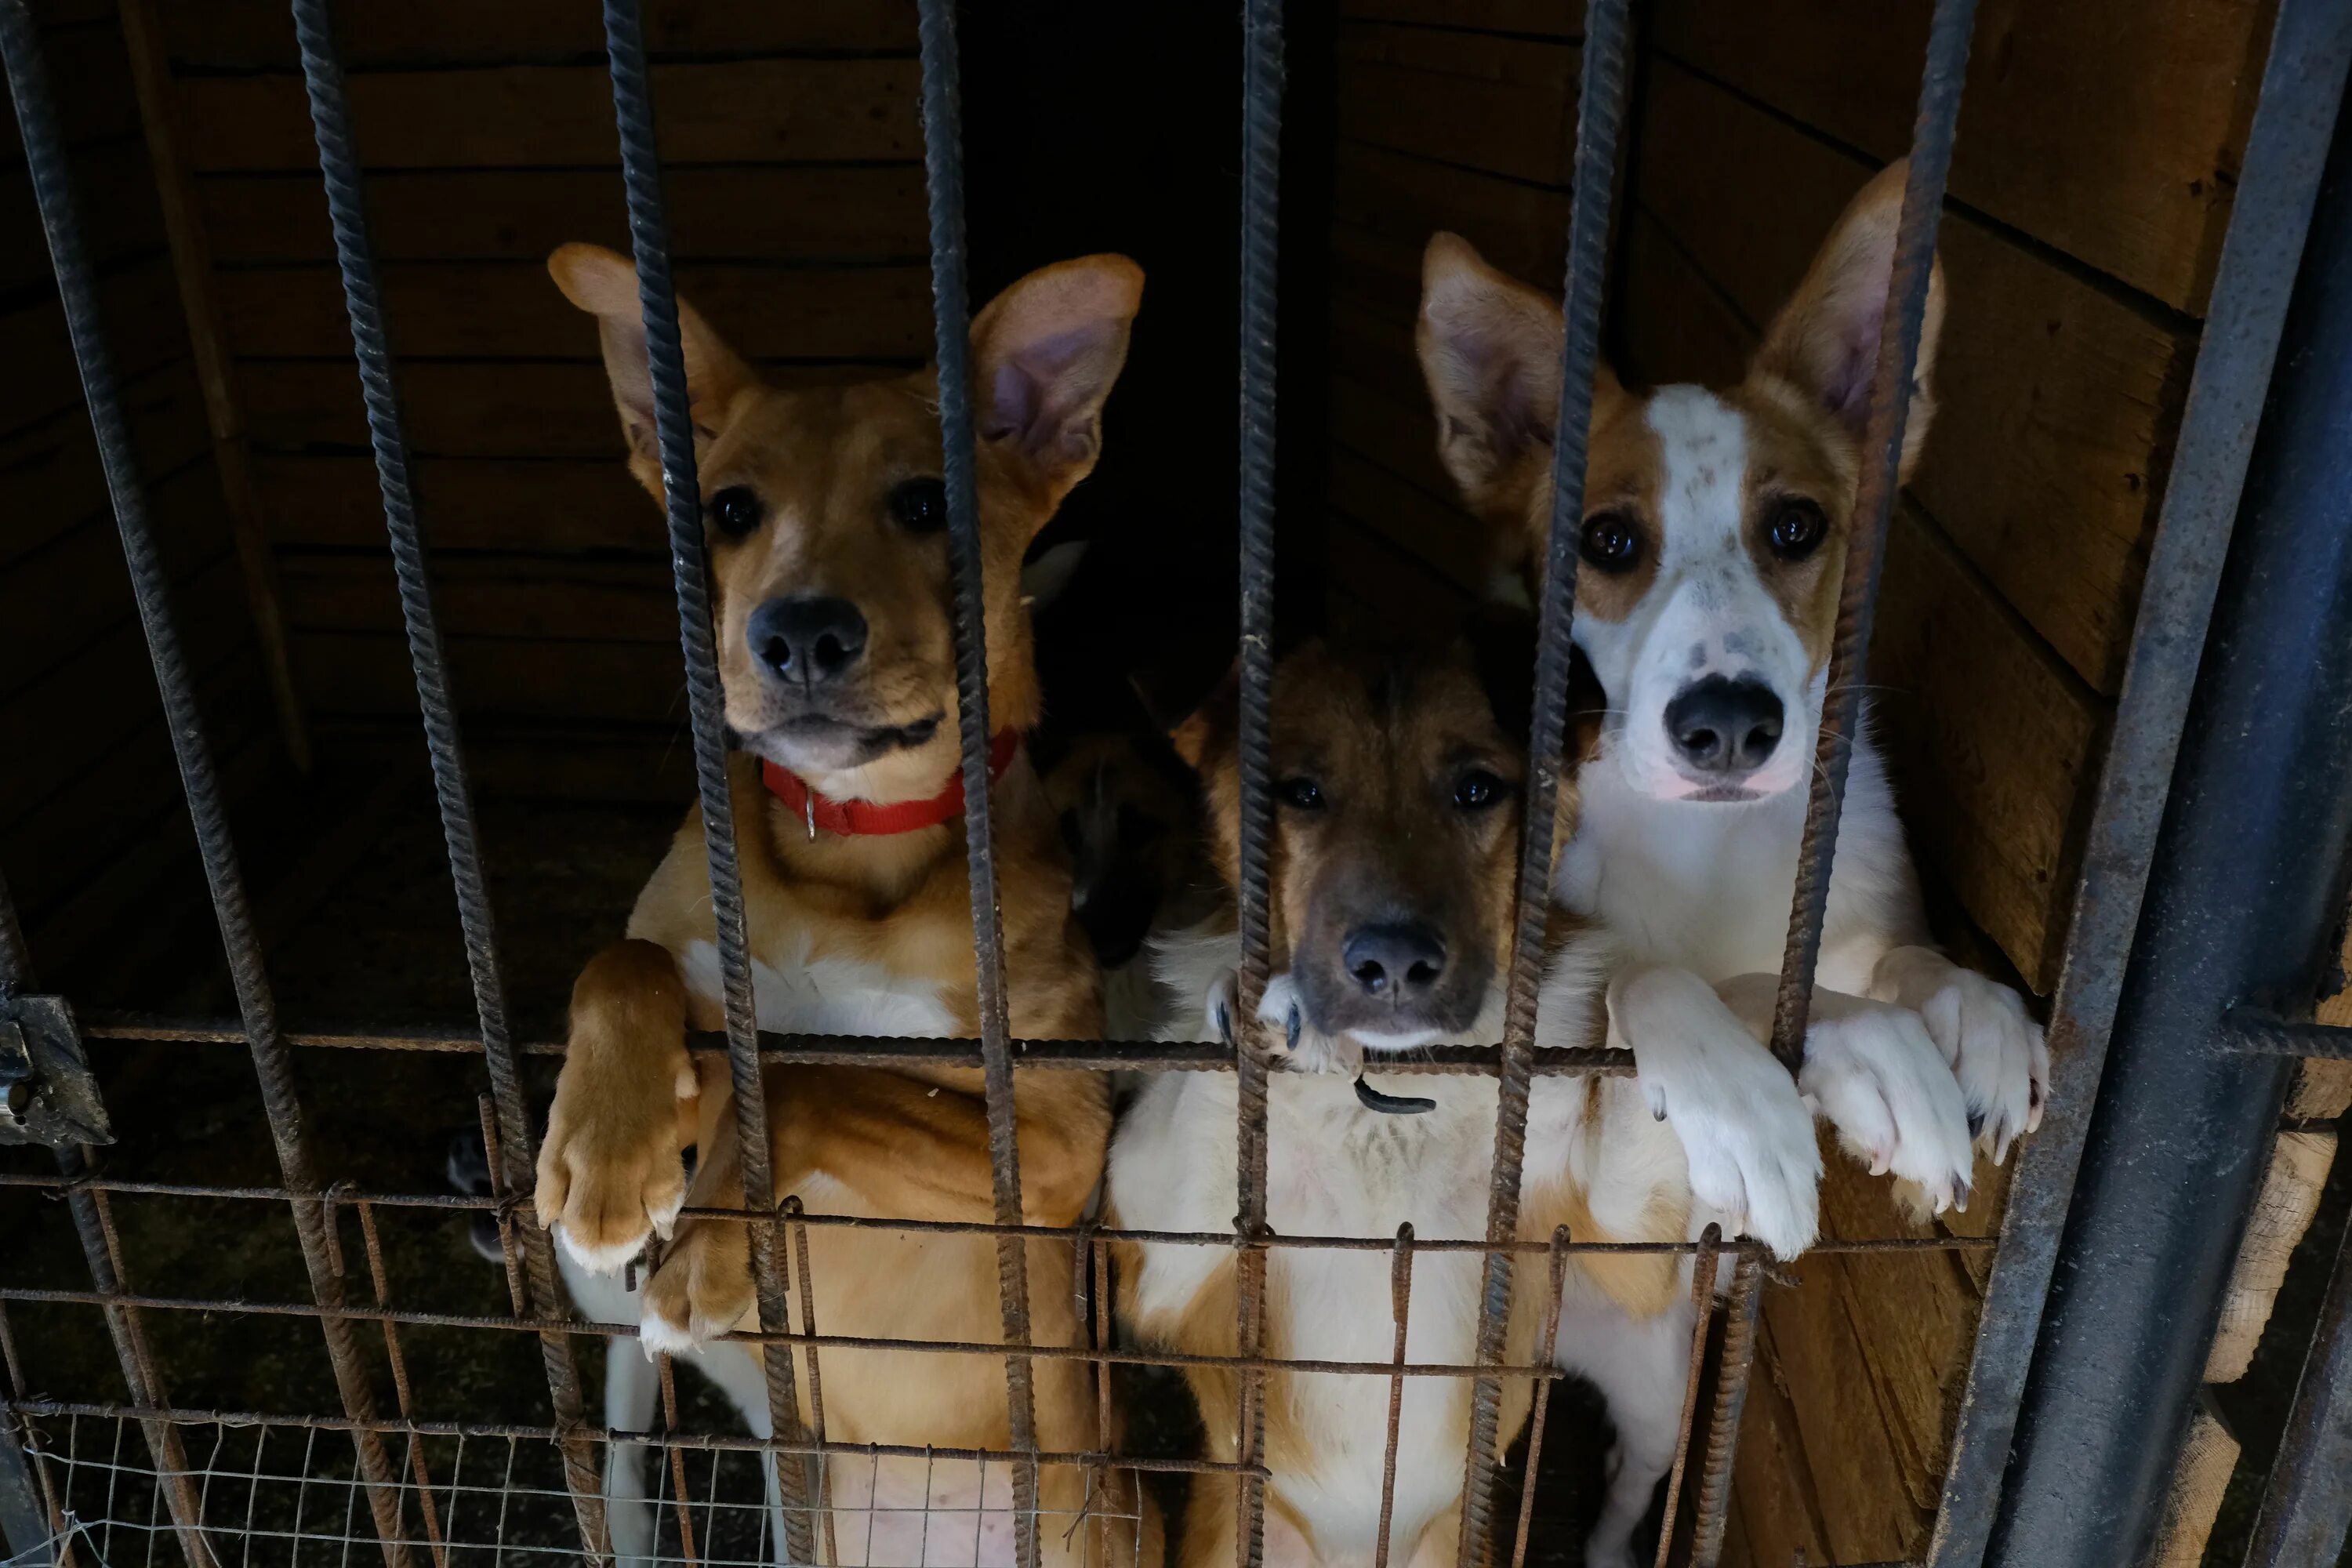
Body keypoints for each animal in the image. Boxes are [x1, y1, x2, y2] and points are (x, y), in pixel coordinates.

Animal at [536, 236, 1157, 1568]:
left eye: (926, 502)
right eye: (729, 509)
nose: (802, 632)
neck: (850, 845)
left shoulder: (1057, 1141)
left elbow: (834, 1080)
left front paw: (713, 1255)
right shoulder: (683, 957)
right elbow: (626, 967)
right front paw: (606, 1147)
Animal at [1110, 625, 1769, 1568]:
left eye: (1476, 789)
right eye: (1300, 792)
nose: (1391, 962)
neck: (1390, 1092)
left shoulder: (1616, 1236)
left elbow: (1644, 1007)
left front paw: (1737, 1099)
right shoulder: (1160, 1262)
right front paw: (1252, 1003)